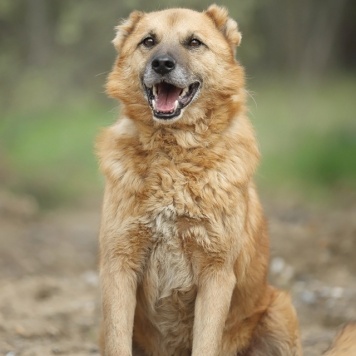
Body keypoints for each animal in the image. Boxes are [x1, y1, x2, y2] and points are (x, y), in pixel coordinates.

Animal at [96, 4, 354, 354]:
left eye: (194, 42)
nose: (161, 64)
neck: (173, 156)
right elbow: (117, 342)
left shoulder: (216, 275)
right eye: (148, 41)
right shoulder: (118, 267)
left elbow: (206, 343)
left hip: (281, 309)